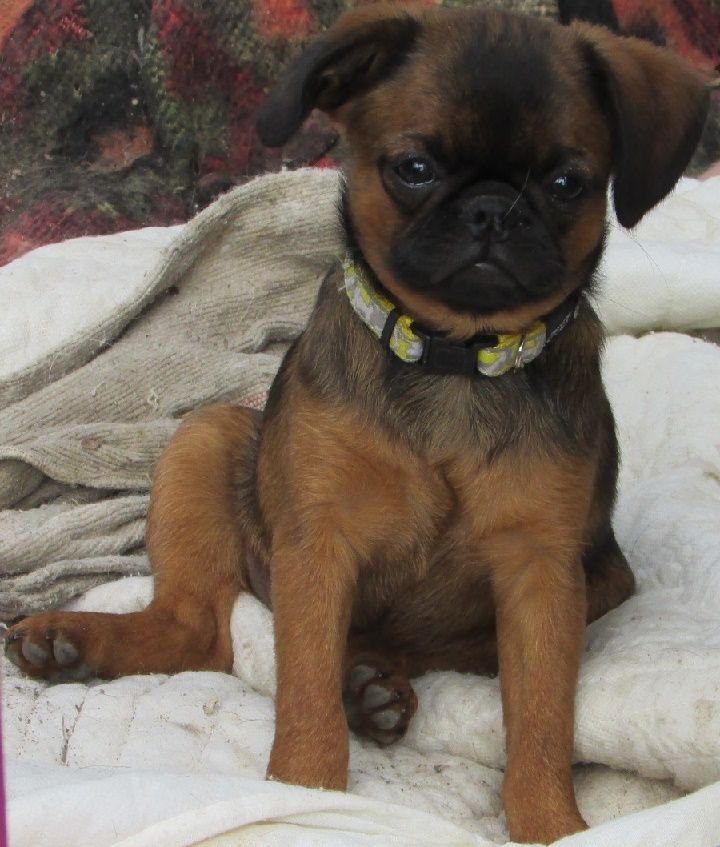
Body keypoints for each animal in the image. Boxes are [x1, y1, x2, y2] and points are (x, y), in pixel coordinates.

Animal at [4, 5, 709, 842]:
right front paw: (307, 794)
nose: (493, 210)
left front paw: (550, 821)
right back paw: (74, 640)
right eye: (414, 168)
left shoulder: (541, 572)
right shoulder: (318, 542)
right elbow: (304, 689)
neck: (453, 357)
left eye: (569, 183)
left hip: (604, 578)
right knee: (197, 629)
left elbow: (541, 715)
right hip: (207, 437)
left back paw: (372, 681)